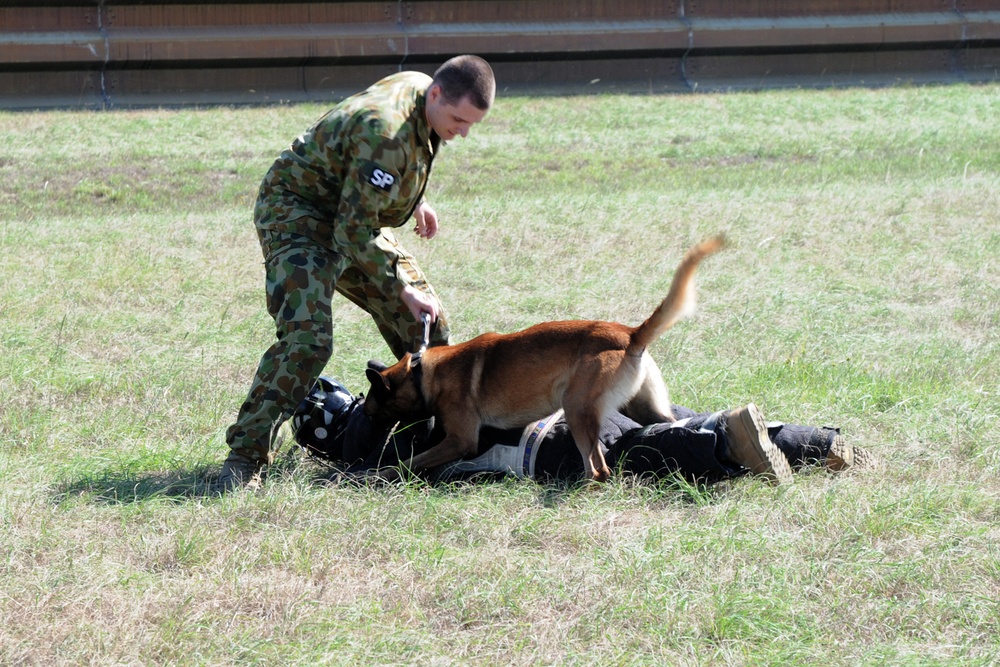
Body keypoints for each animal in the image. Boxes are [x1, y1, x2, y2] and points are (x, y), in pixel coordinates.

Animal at [364, 235, 724, 480]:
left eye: (370, 406)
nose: (368, 429)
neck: (421, 371)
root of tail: (629, 334)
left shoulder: (461, 439)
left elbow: (411, 461)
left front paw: (380, 474)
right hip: (645, 409)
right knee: (663, 429)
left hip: (576, 409)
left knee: (599, 470)